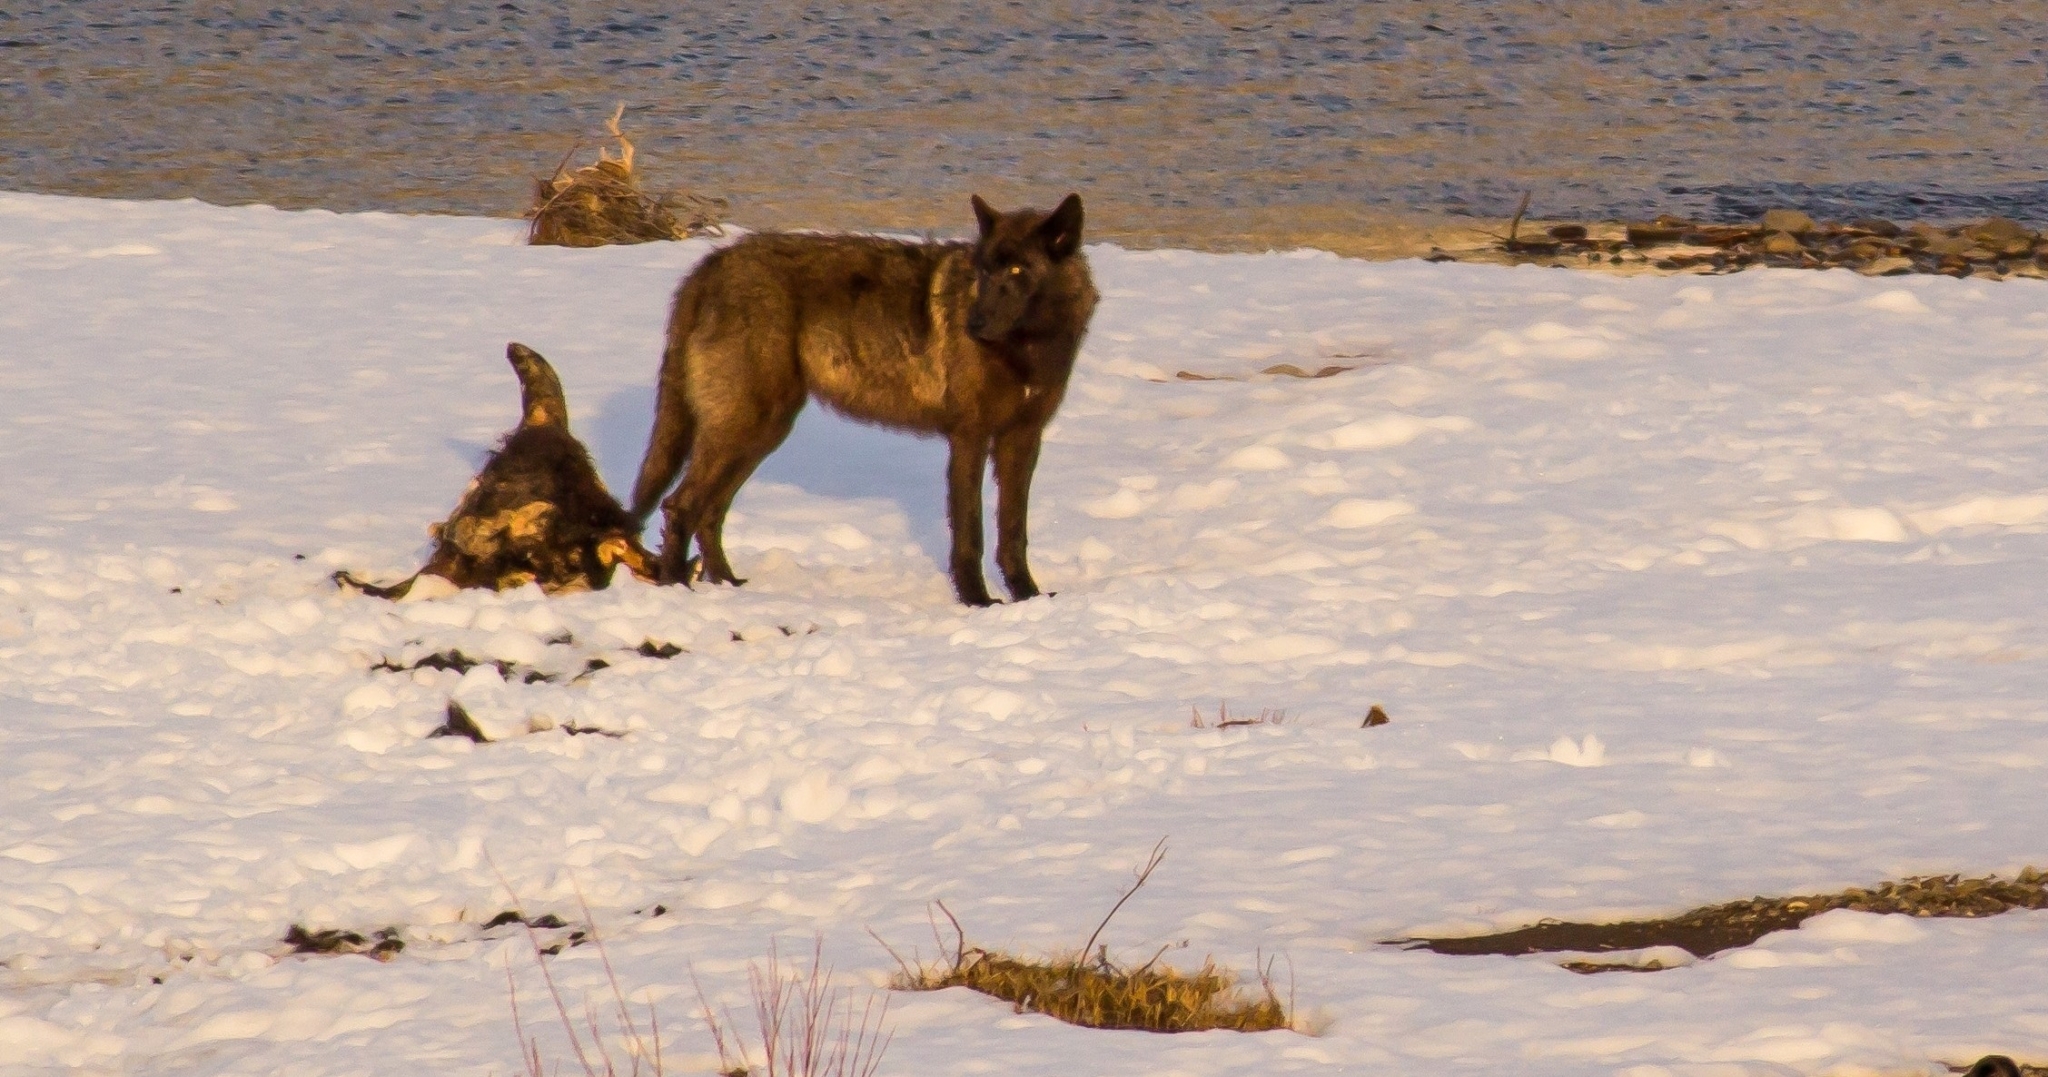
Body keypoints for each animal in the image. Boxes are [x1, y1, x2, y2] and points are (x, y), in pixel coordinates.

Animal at [629, 193, 1099, 606]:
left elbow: (1014, 533)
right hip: (746, 427)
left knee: (709, 511)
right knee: (679, 505)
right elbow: (971, 533)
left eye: (1017, 269)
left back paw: (727, 584)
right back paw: (676, 590)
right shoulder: (970, 438)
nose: (974, 324)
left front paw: (1028, 597)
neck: (1028, 348)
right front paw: (978, 601)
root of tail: (709, 264)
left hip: (761, 433)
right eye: (984, 271)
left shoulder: (1023, 440)